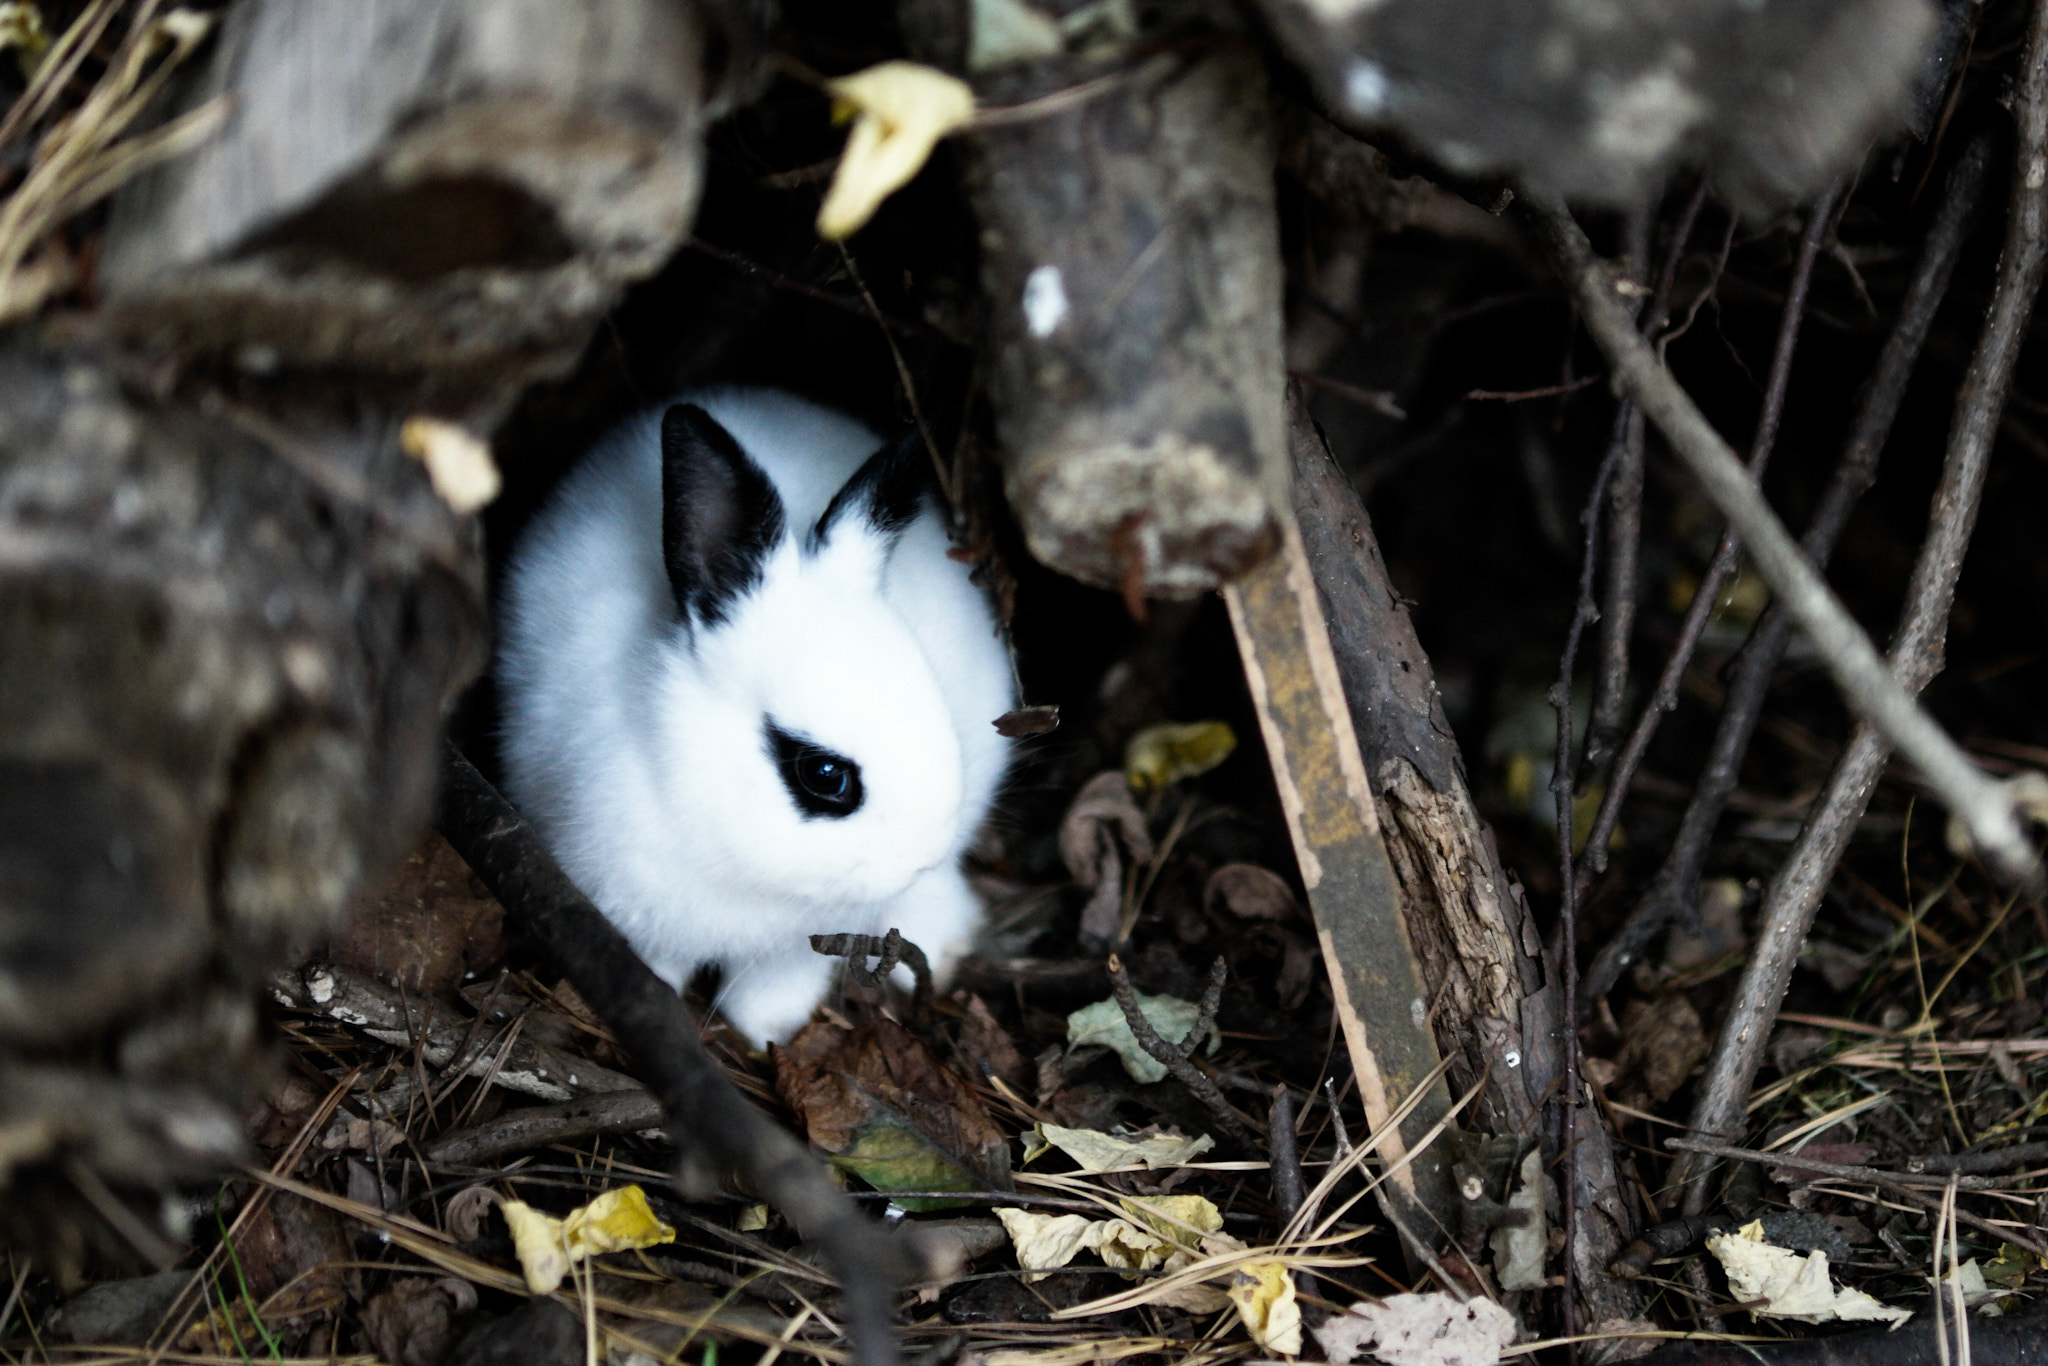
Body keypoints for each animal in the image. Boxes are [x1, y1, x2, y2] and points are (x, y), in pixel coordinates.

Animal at [491, 389, 1011, 1040]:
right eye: (824, 775)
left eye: (932, 702)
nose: (924, 856)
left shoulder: (802, 944)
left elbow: (768, 992)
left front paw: (766, 1033)